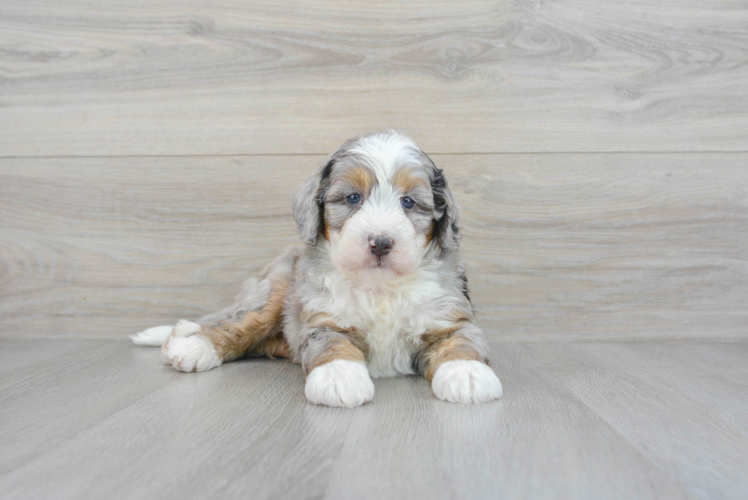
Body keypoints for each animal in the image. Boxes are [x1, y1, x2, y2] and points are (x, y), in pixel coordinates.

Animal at [130, 132, 502, 406]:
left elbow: (461, 342)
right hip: (275, 288)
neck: (380, 287)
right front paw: (339, 377)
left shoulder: (449, 316)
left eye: (408, 202)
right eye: (353, 198)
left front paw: (467, 374)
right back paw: (191, 346)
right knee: (237, 322)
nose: (381, 243)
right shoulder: (323, 318)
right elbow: (332, 345)